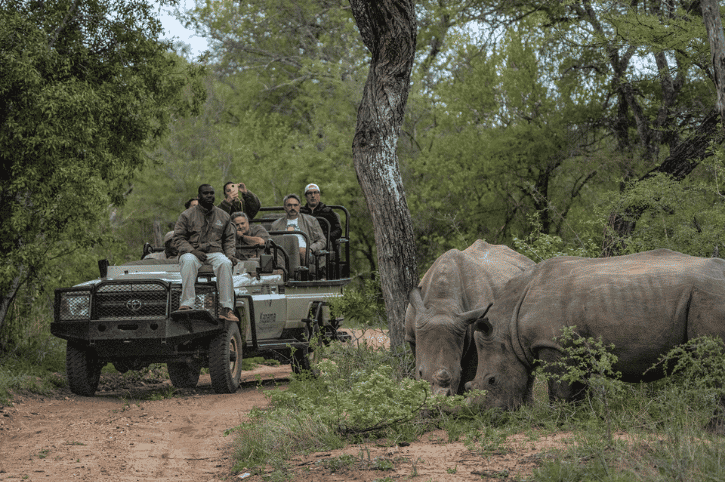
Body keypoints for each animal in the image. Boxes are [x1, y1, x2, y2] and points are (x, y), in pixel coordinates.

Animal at [405, 240, 535, 396]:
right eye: (420, 372)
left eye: (459, 373)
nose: (441, 396)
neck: (442, 304)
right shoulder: (412, 336)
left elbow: (468, 375)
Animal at [465, 249, 725, 410]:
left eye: (492, 381)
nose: (487, 415)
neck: (507, 325)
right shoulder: (571, 347)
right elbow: (577, 387)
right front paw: (581, 418)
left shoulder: (554, 344)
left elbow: (561, 388)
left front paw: (560, 418)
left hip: (708, 294)